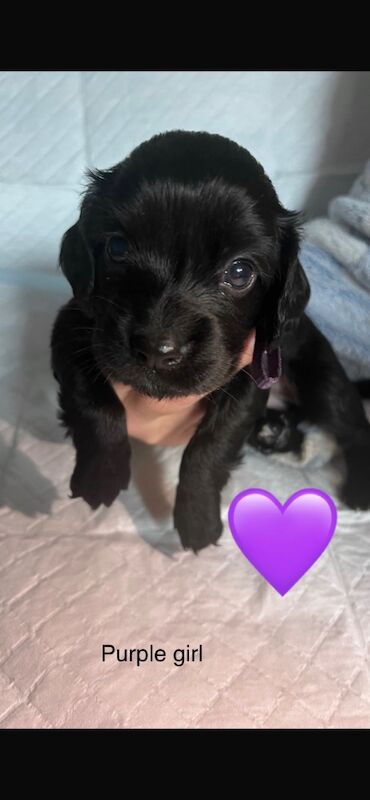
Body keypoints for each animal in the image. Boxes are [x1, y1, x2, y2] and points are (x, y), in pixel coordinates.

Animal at [51, 130, 370, 552]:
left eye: (239, 272)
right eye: (118, 249)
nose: (159, 350)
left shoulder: (248, 375)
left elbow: (211, 446)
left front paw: (198, 519)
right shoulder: (71, 329)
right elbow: (96, 403)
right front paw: (100, 476)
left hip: (322, 381)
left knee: (355, 427)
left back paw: (359, 486)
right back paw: (274, 431)